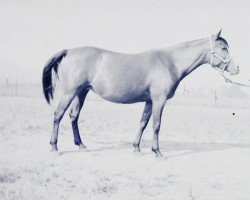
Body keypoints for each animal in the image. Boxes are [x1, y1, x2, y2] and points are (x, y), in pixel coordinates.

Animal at [42, 30, 239, 158]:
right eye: (223, 48)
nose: (237, 68)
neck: (169, 62)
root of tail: (68, 51)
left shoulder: (149, 101)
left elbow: (143, 123)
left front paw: (136, 148)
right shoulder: (159, 100)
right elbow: (156, 125)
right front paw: (157, 151)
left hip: (81, 93)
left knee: (73, 116)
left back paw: (81, 145)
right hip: (70, 93)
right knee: (58, 114)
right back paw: (54, 147)